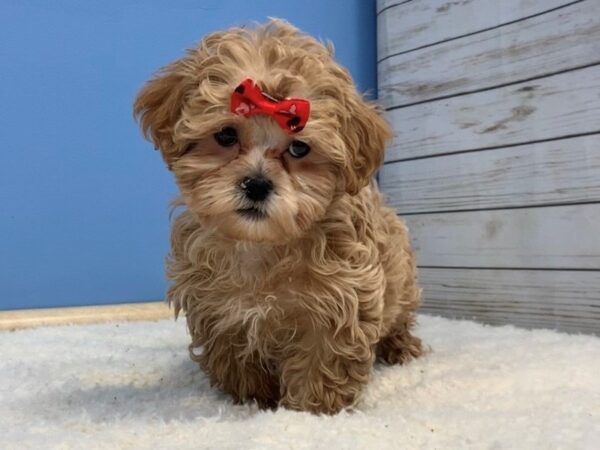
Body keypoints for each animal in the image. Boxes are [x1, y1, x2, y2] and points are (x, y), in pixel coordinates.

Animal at [132, 21, 422, 414]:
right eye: (226, 135)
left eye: (299, 148)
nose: (256, 184)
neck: (261, 245)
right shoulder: (219, 309)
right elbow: (237, 358)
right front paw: (252, 399)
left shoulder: (340, 299)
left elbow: (323, 358)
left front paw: (313, 408)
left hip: (401, 279)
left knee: (399, 316)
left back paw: (401, 347)